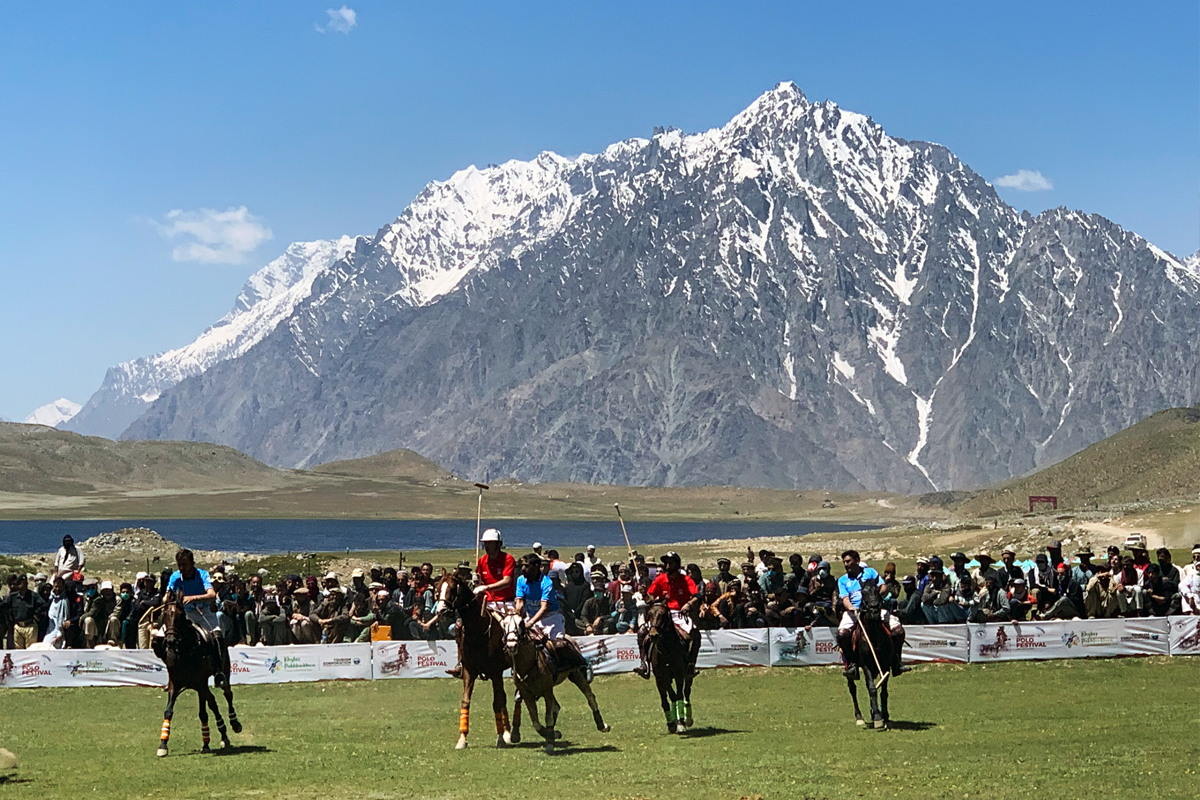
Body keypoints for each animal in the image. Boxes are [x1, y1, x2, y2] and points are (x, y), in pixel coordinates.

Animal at [148, 592, 240, 762]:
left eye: (180, 615)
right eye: (165, 614)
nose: (170, 641)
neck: (186, 650)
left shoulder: (200, 683)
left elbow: (203, 713)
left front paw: (206, 744)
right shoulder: (175, 684)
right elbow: (168, 712)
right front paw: (163, 745)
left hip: (223, 673)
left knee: (227, 694)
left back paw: (234, 723)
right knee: (213, 702)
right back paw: (223, 735)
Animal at [436, 568, 516, 753]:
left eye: (452, 589)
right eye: (437, 588)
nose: (440, 611)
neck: (477, 629)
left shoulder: (495, 672)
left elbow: (496, 702)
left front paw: (500, 738)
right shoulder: (469, 671)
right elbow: (465, 701)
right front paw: (462, 739)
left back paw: (508, 734)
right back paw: (507, 732)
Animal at [499, 618, 609, 753]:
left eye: (521, 624)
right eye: (503, 625)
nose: (511, 646)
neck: (529, 663)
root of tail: (569, 637)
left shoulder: (547, 690)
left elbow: (548, 716)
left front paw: (550, 743)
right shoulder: (527, 692)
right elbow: (535, 721)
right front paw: (552, 734)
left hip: (576, 674)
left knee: (590, 696)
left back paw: (602, 725)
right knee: (556, 706)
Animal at [643, 604, 700, 734]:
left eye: (663, 615)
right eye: (650, 614)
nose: (653, 635)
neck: (666, 649)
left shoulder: (679, 674)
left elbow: (679, 695)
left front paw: (681, 723)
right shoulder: (661, 676)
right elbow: (668, 698)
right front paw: (671, 723)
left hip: (689, 671)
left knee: (686, 692)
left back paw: (688, 718)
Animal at [844, 582, 892, 734]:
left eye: (878, 590)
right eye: (863, 592)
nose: (874, 609)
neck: (874, 637)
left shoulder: (885, 665)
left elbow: (883, 690)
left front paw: (884, 716)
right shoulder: (866, 665)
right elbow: (872, 688)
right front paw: (877, 718)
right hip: (847, 665)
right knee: (852, 688)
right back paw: (859, 717)